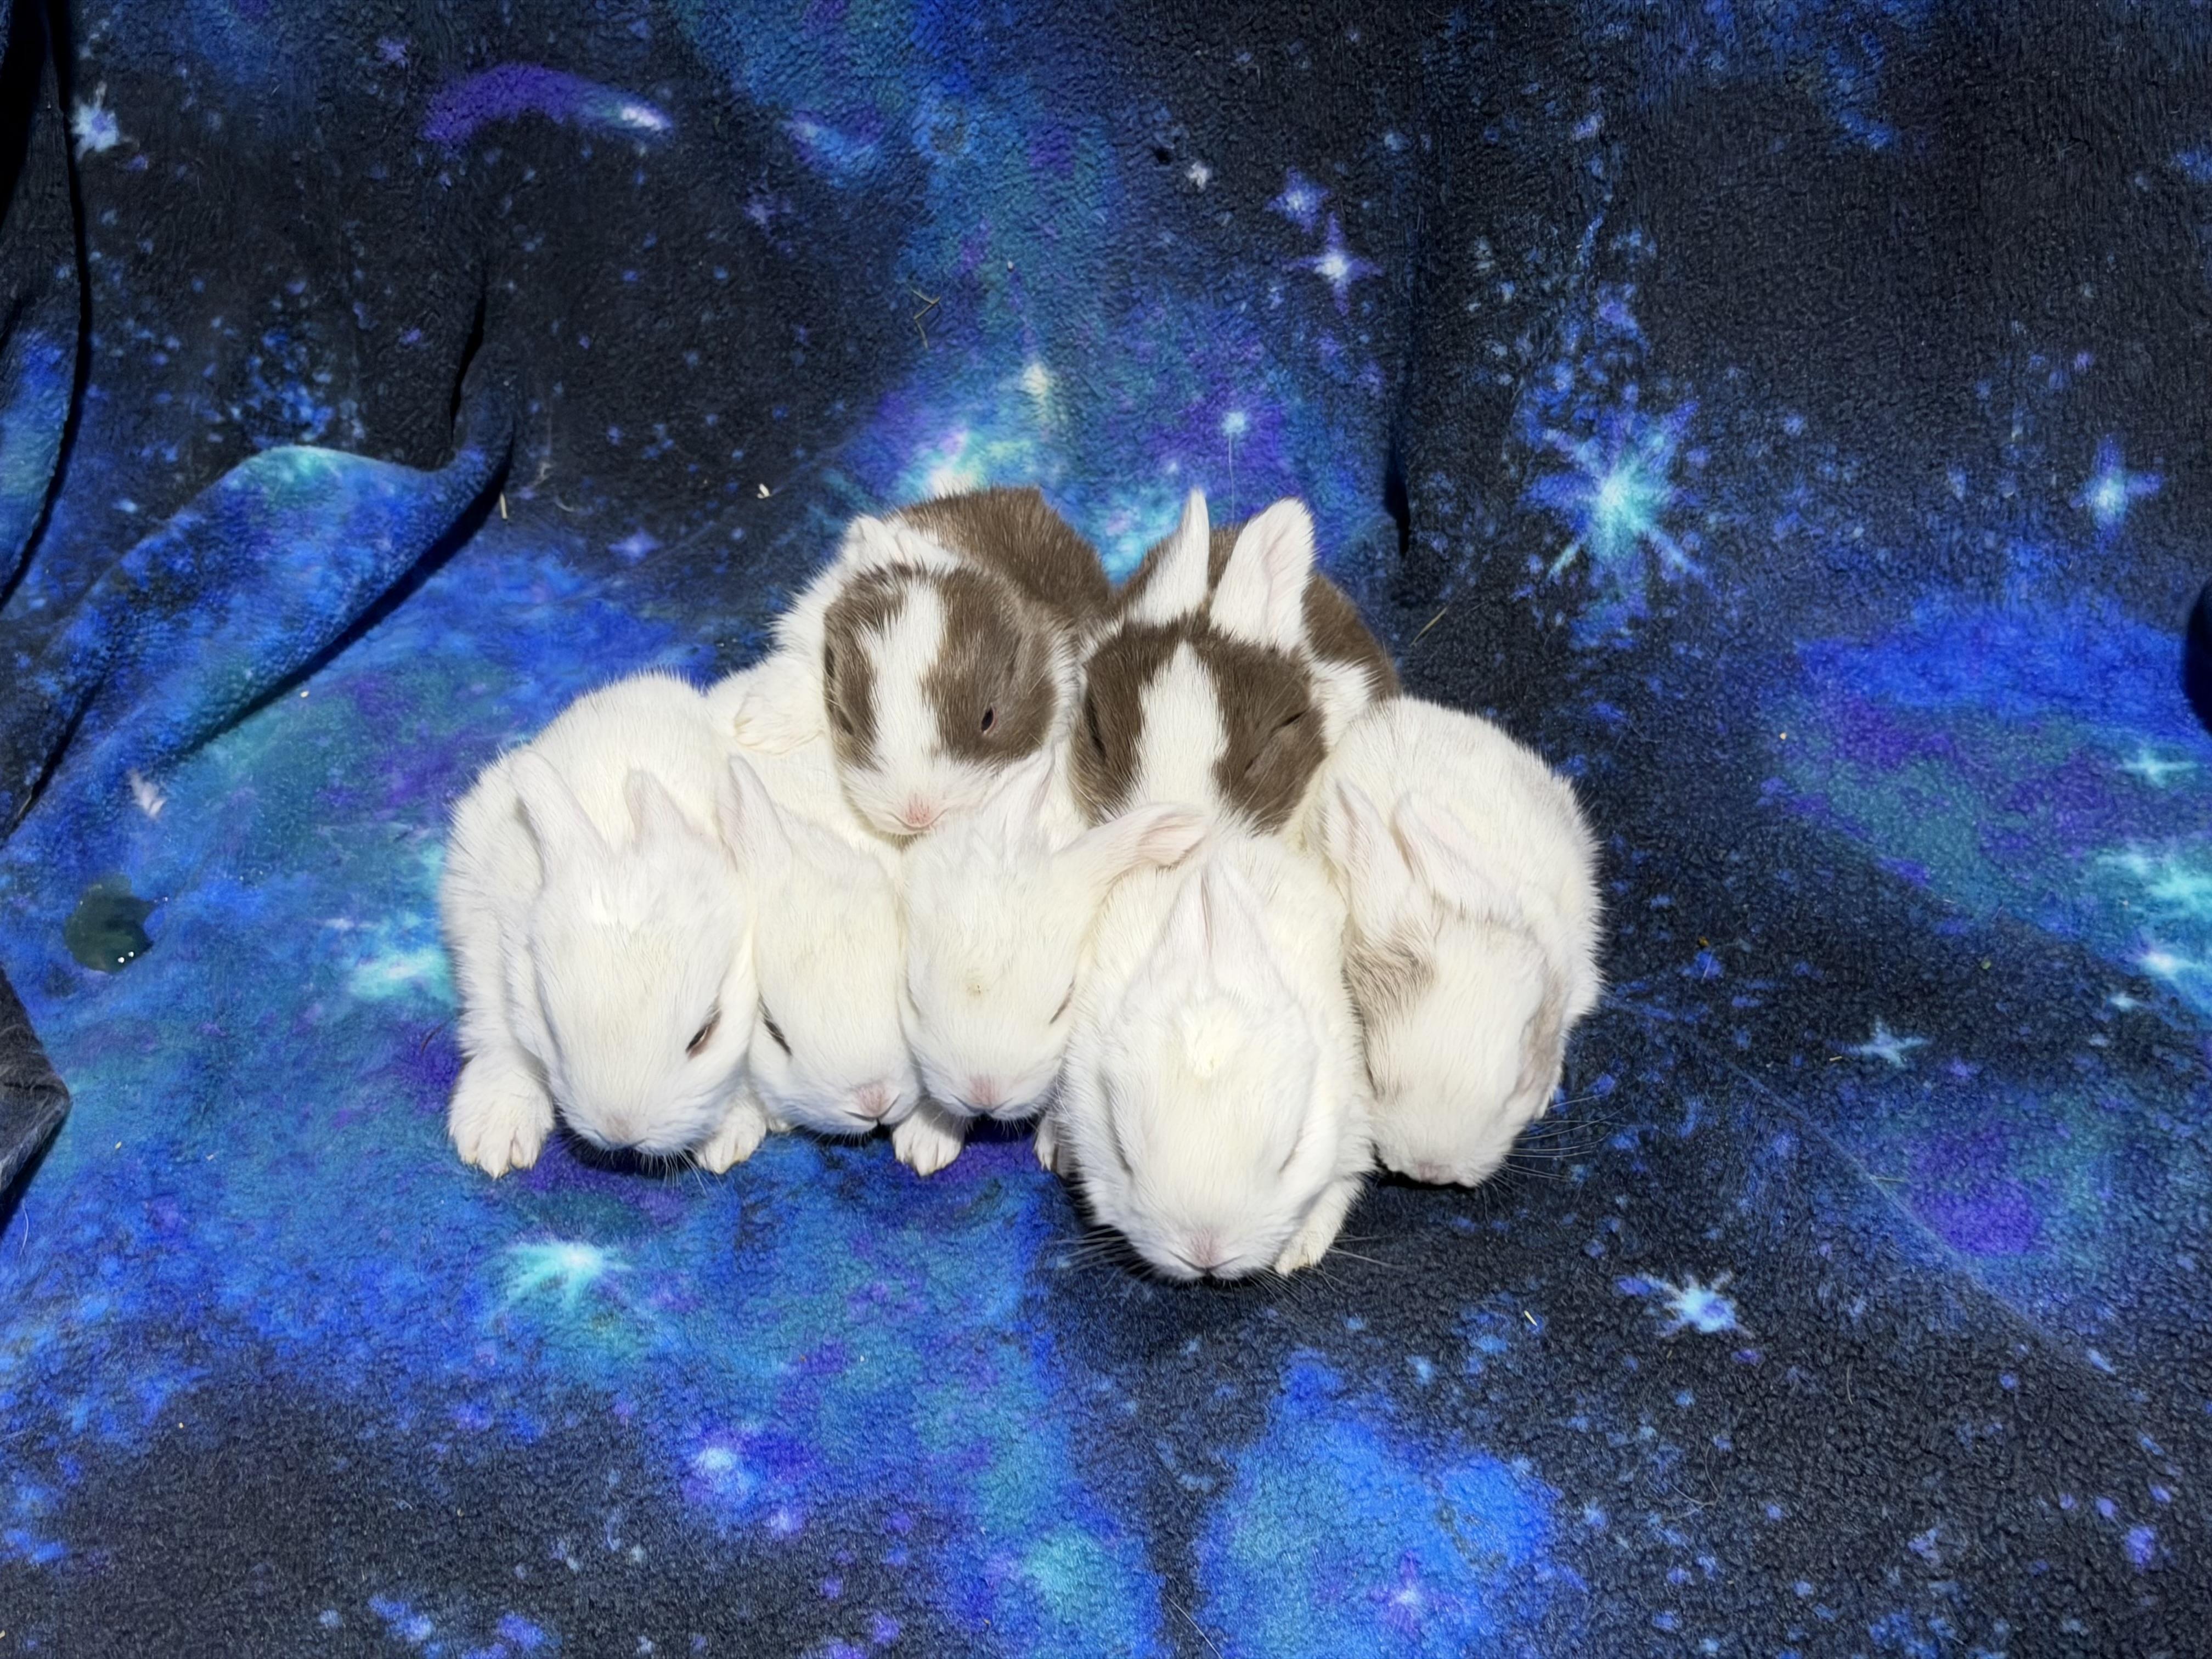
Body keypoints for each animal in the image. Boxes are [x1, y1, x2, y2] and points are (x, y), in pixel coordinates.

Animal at [441, 671, 766, 1177]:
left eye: (704, 1034)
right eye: (552, 1027)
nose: (620, 1132)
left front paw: (731, 1133)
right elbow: (499, 1031)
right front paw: (495, 1130)